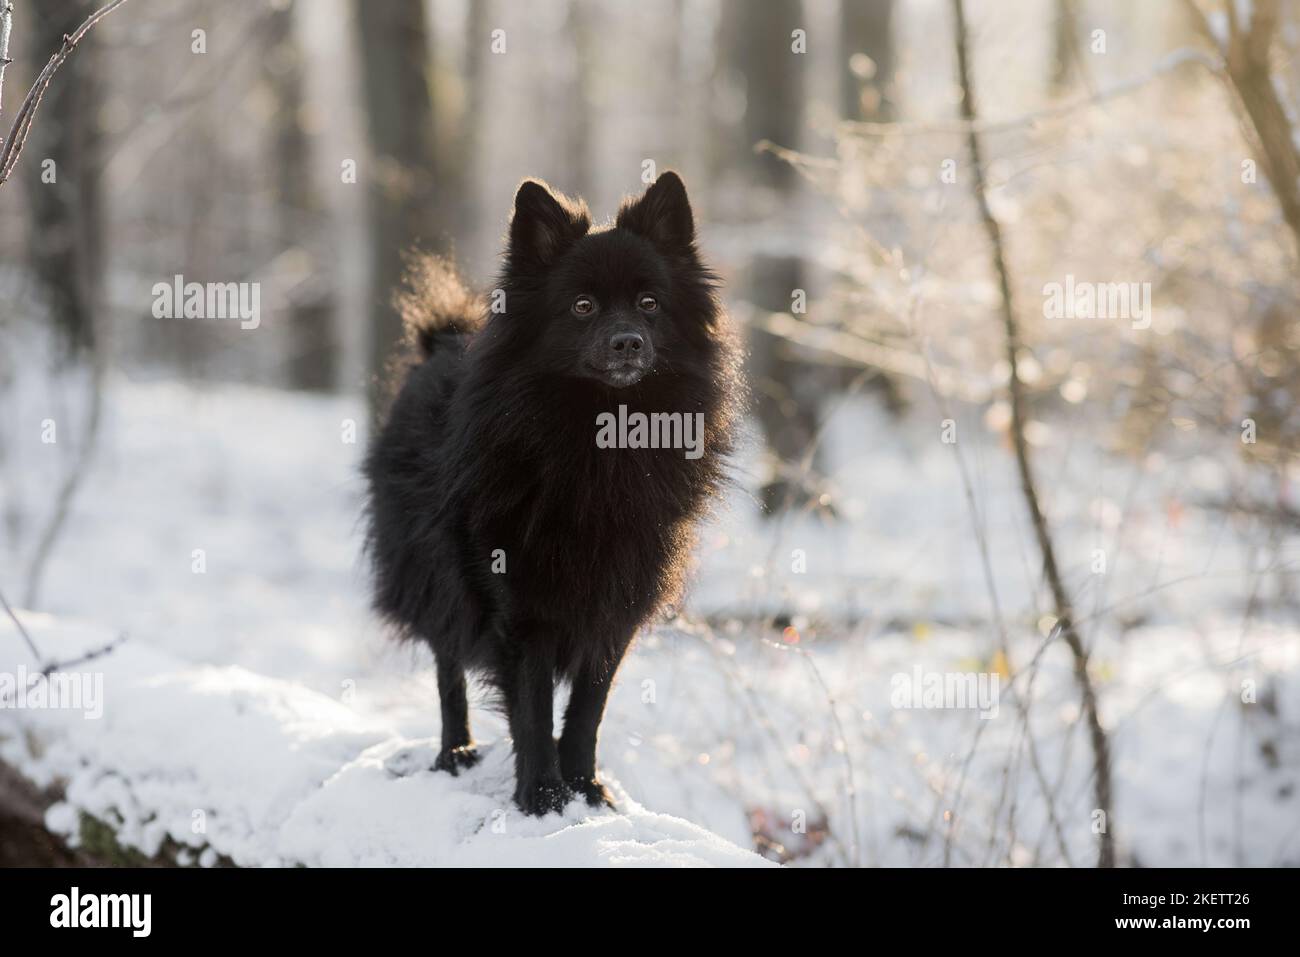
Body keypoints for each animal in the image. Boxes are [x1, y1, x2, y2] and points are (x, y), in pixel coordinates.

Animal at [364, 171, 743, 816]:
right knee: (447, 667)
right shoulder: (520, 608)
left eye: (650, 304)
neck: (599, 442)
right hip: (435, 574)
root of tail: (439, 342)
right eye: (583, 307)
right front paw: (541, 797)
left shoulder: (616, 607)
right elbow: (534, 711)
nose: (627, 342)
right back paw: (454, 753)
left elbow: (588, 709)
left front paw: (585, 790)